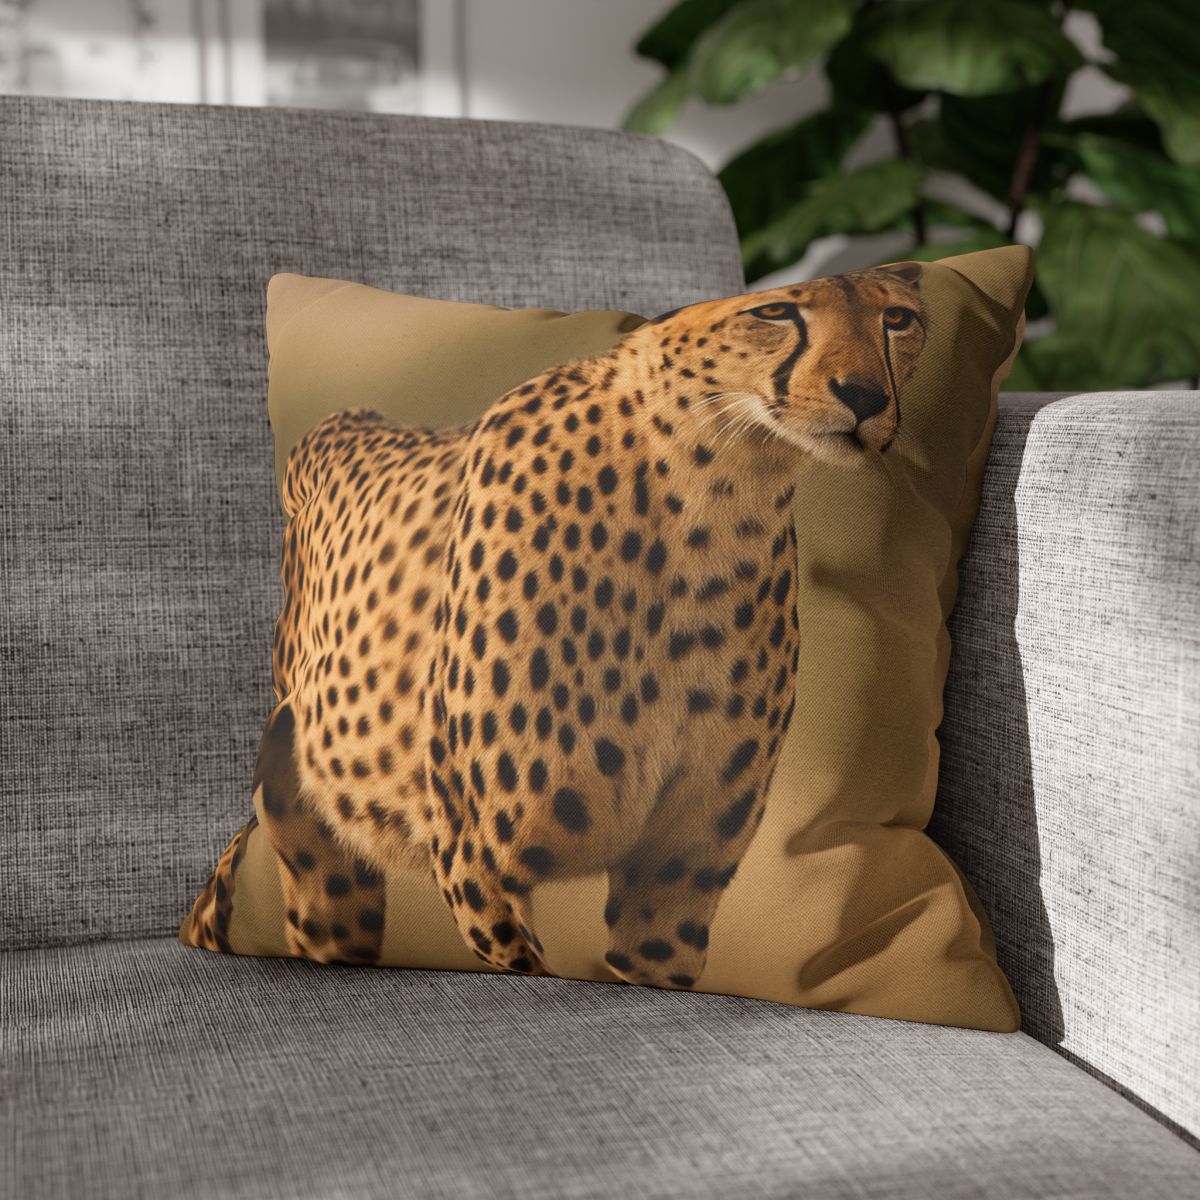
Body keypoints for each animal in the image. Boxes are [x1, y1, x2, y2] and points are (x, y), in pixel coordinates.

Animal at [182, 264, 927, 991]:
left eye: (898, 318)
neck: (710, 505)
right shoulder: (475, 857)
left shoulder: (674, 875)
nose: (864, 396)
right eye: (773, 311)